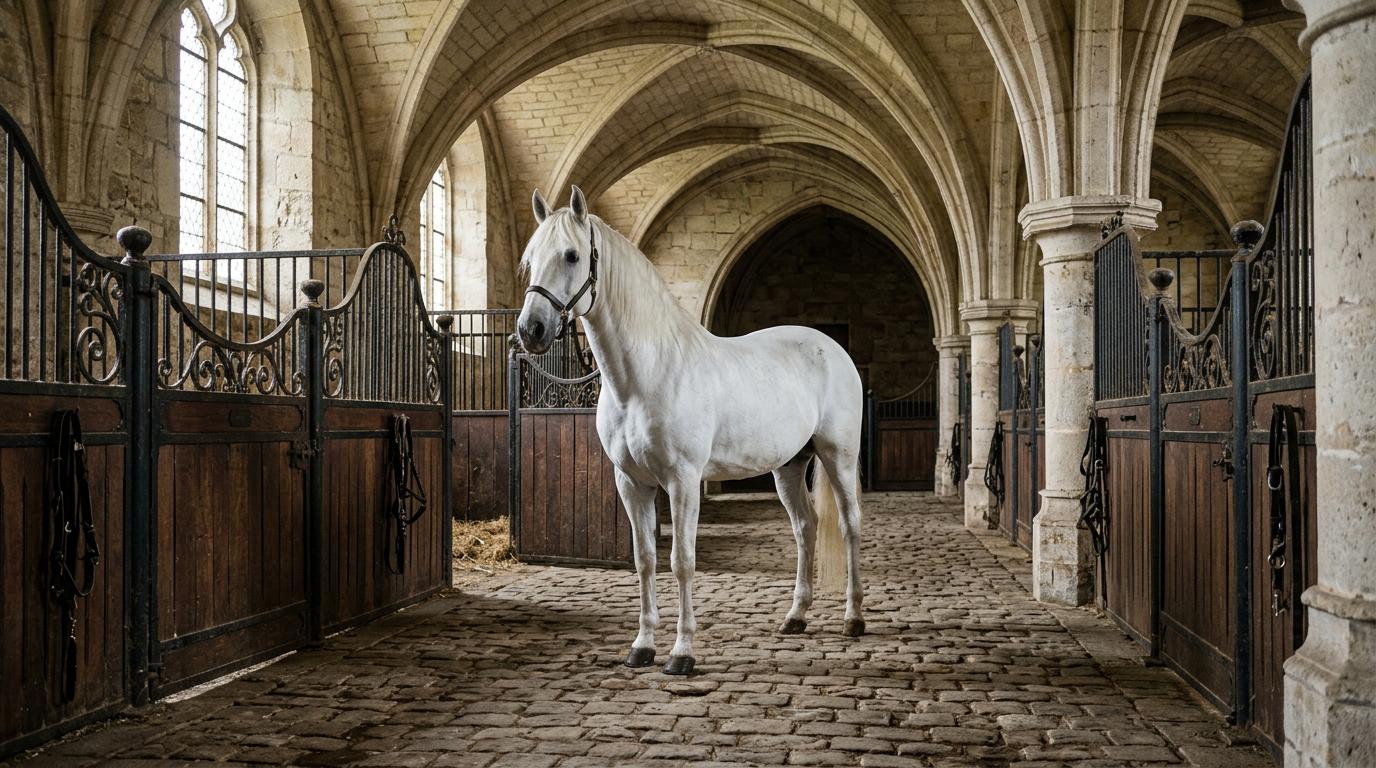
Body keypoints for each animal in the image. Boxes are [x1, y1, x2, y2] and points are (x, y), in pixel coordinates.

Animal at [516, 185, 865, 675]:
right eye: (530, 258)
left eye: (571, 255)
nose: (531, 330)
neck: (643, 377)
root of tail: (830, 347)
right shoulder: (631, 483)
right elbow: (645, 560)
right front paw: (642, 647)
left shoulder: (682, 482)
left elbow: (682, 560)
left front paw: (682, 653)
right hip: (789, 466)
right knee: (805, 527)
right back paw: (795, 617)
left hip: (839, 455)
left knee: (850, 525)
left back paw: (853, 619)